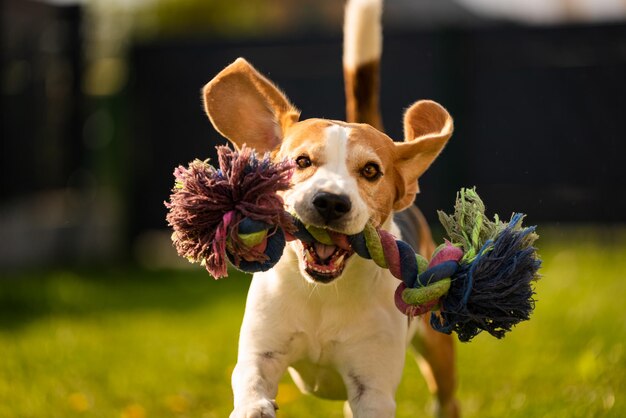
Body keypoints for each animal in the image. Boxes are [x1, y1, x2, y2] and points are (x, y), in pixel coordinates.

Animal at [201, 0, 458, 418]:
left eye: (370, 171)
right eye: (301, 162)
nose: (332, 202)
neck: (323, 295)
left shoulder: (372, 389)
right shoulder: (260, 353)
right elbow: (251, 383)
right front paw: (254, 408)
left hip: (437, 349)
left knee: (445, 397)